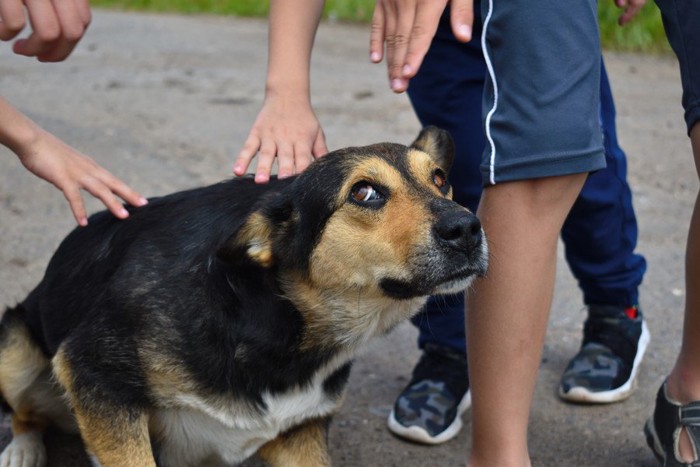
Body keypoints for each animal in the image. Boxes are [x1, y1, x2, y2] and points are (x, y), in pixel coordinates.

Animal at [0, 126, 486, 466]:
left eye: (440, 178)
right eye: (364, 192)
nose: (467, 228)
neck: (282, 320)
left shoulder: (299, 434)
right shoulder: (93, 373)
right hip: (15, 350)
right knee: (25, 414)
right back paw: (23, 450)